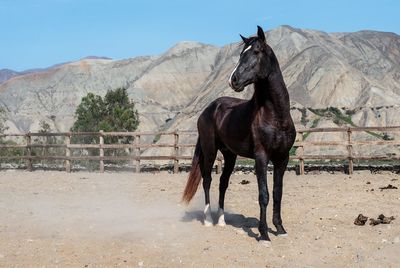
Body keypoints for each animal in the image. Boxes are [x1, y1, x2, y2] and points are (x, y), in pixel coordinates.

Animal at [183, 25, 296, 245]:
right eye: (242, 53)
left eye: (257, 51)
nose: (233, 80)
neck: (275, 116)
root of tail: (209, 108)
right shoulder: (261, 157)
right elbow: (264, 195)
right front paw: (264, 234)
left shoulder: (282, 158)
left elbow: (277, 193)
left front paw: (280, 228)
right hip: (210, 150)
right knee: (208, 180)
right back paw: (208, 220)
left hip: (230, 155)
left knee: (222, 183)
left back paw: (222, 221)